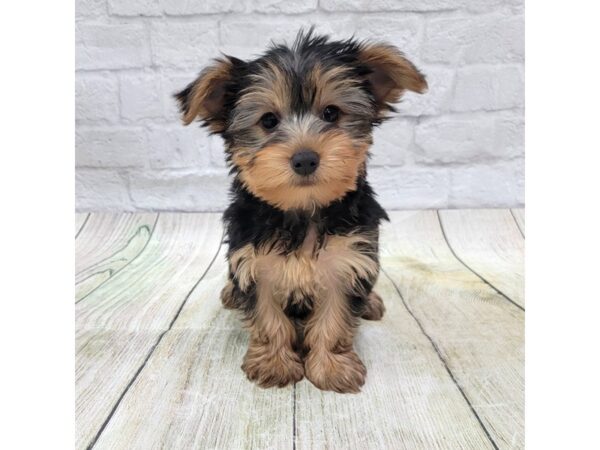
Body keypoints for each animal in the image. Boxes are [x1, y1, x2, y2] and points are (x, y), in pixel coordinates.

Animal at [175, 29, 426, 394]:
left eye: (332, 113)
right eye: (268, 121)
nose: (305, 158)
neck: (302, 210)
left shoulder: (346, 260)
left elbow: (334, 318)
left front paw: (332, 367)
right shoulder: (255, 262)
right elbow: (268, 318)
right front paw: (275, 364)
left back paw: (371, 302)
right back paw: (231, 294)